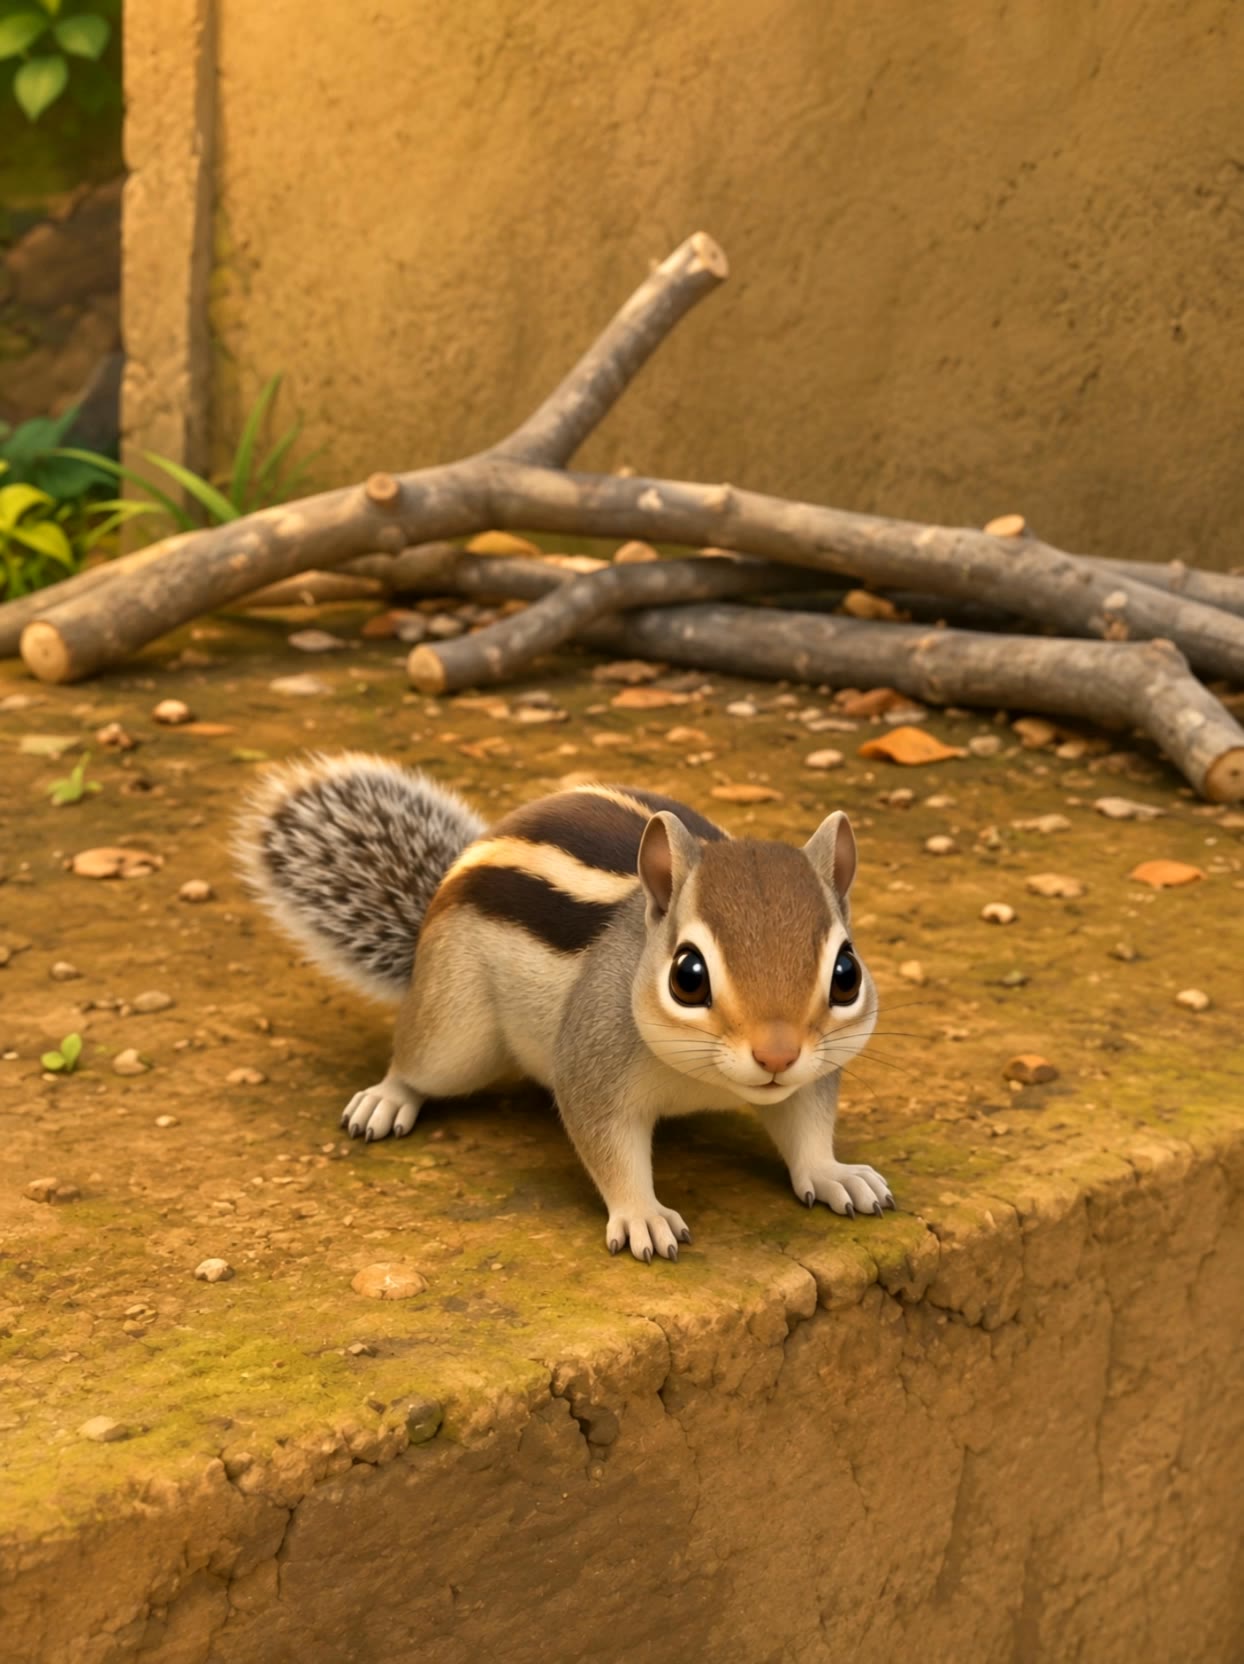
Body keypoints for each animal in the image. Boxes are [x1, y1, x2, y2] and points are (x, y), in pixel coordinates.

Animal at [236, 752, 893, 1261]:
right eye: (688, 976)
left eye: (846, 974)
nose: (776, 1056)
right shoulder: (592, 1063)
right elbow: (609, 1147)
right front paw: (641, 1214)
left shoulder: (814, 1072)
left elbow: (807, 1126)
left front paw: (835, 1174)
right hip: (455, 1030)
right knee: (417, 1063)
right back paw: (387, 1099)